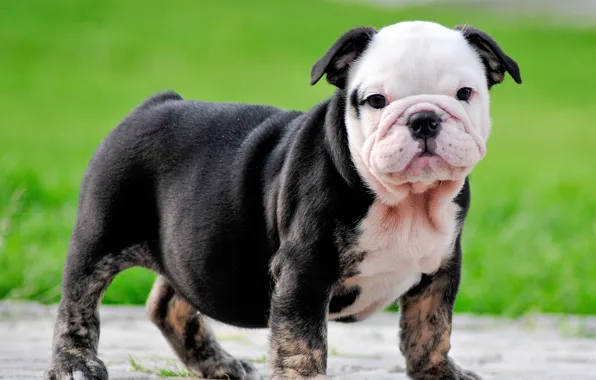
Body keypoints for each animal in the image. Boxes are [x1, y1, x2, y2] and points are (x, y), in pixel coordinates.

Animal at [46, 20, 520, 380]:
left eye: (465, 93)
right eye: (375, 101)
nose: (423, 118)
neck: (405, 201)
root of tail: (153, 105)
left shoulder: (441, 268)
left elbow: (431, 326)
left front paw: (437, 372)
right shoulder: (304, 271)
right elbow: (301, 339)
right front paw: (303, 376)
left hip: (192, 251)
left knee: (170, 303)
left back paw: (218, 364)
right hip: (103, 233)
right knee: (78, 303)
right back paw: (75, 364)